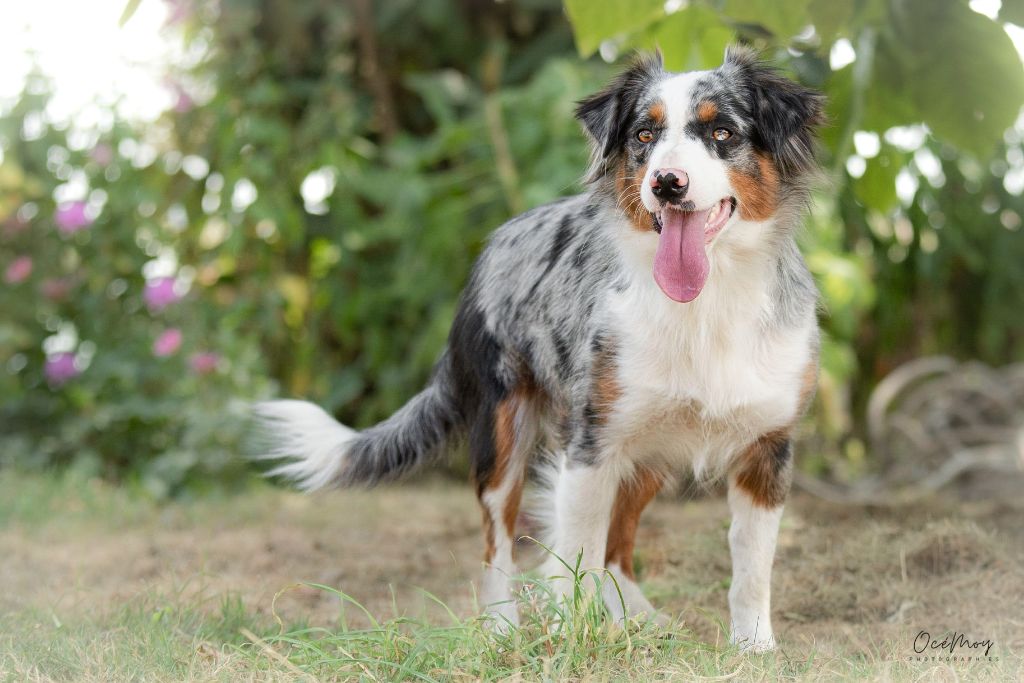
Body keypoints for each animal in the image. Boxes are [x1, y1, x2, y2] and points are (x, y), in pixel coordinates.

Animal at [256, 45, 823, 655]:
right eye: (644, 135)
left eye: (722, 132)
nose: (667, 183)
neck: (707, 301)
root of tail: (494, 243)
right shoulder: (590, 446)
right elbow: (574, 557)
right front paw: (573, 638)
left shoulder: (767, 449)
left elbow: (751, 567)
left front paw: (755, 648)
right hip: (503, 436)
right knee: (498, 546)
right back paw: (503, 627)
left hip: (646, 450)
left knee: (617, 548)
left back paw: (638, 620)